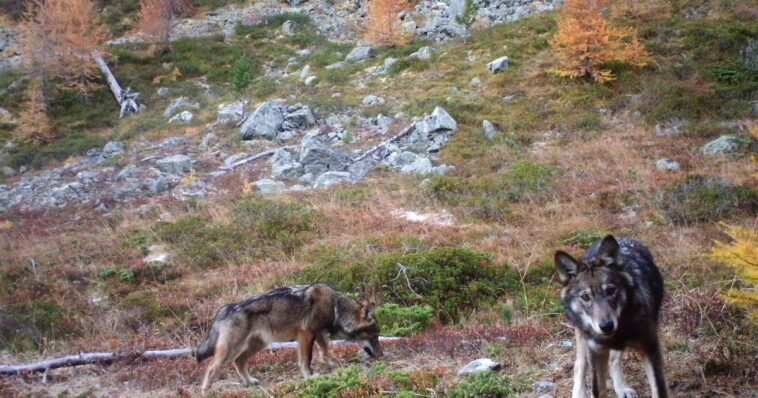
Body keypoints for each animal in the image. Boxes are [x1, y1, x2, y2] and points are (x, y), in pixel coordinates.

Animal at [196, 284, 382, 394]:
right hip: (232, 349)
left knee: (239, 362)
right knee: (211, 367)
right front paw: (310, 377)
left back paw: (250, 382)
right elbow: (306, 359)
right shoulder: (306, 334)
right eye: (374, 336)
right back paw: (206, 391)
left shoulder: (318, 334)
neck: (335, 307)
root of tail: (225, 309)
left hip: (257, 345)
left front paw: (331, 365)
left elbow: (325, 352)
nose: (382, 356)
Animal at [556, 235, 668, 396]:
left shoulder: (650, 346)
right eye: (585, 297)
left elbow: (659, 389)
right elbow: (597, 391)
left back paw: (622, 389)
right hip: (583, 338)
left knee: (613, 360)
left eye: (610, 290)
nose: (606, 326)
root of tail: (622, 237)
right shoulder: (596, 352)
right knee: (579, 365)